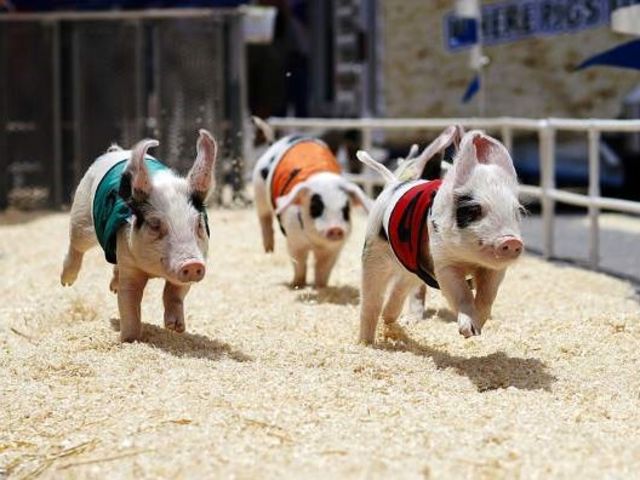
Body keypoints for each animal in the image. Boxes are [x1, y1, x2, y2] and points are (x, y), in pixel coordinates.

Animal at [60, 130, 217, 342]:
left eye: (198, 224)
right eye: (155, 224)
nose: (192, 264)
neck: (154, 272)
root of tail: (117, 151)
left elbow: (175, 292)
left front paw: (176, 328)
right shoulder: (129, 260)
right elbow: (128, 301)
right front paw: (129, 340)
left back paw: (112, 287)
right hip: (81, 215)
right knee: (76, 245)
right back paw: (66, 282)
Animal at [251, 117, 372, 288]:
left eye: (346, 210)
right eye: (316, 206)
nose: (335, 228)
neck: (316, 244)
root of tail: (274, 143)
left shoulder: (334, 250)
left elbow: (323, 269)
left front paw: (321, 286)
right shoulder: (294, 241)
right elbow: (299, 263)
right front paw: (297, 284)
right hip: (259, 192)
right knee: (264, 218)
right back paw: (269, 250)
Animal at [356, 127, 524, 345]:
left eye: (517, 211)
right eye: (474, 209)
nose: (512, 241)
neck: (469, 260)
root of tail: (394, 184)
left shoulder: (495, 270)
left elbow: (487, 297)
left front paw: (476, 330)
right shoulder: (442, 260)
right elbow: (460, 292)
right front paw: (468, 331)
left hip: (411, 268)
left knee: (400, 288)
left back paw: (390, 320)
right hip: (373, 251)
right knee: (371, 299)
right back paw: (365, 343)